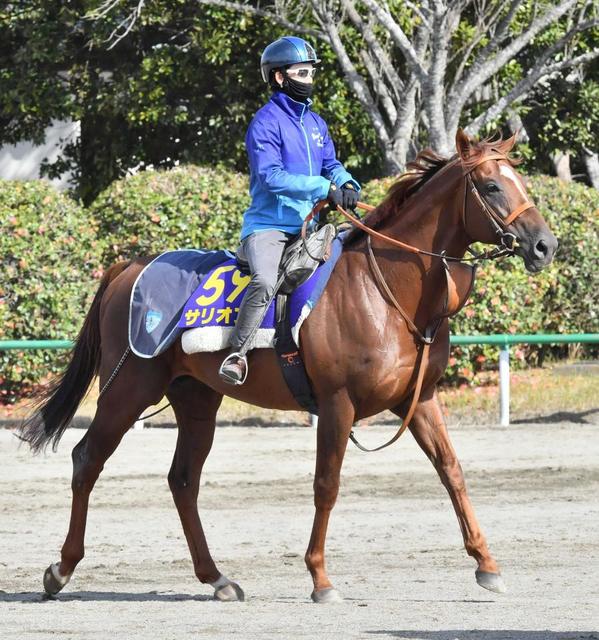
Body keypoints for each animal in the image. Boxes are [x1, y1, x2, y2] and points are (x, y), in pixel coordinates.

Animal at [21, 131, 560, 604]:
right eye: (491, 186)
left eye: (519, 180)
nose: (544, 245)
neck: (385, 290)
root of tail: (127, 268)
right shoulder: (337, 405)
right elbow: (327, 485)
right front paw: (321, 578)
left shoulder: (419, 399)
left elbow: (452, 472)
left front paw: (487, 564)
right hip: (128, 389)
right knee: (87, 459)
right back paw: (60, 570)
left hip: (196, 400)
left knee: (183, 481)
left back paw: (217, 578)